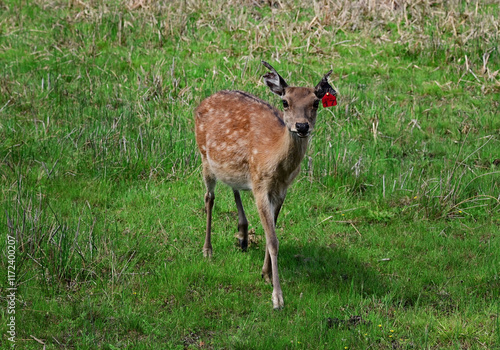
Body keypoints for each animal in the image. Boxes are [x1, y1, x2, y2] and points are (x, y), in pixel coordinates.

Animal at [195, 60, 336, 308]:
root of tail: (203, 101)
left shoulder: (281, 190)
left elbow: (273, 230)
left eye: (316, 102)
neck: (276, 161)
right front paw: (277, 297)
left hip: (234, 166)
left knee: (233, 186)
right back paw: (208, 250)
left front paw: (266, 274)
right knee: (209, 198)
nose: (302, 126)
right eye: (285, 102)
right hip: (204, 156)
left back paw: (242, 235)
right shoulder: (260, 185)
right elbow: (272, 240)